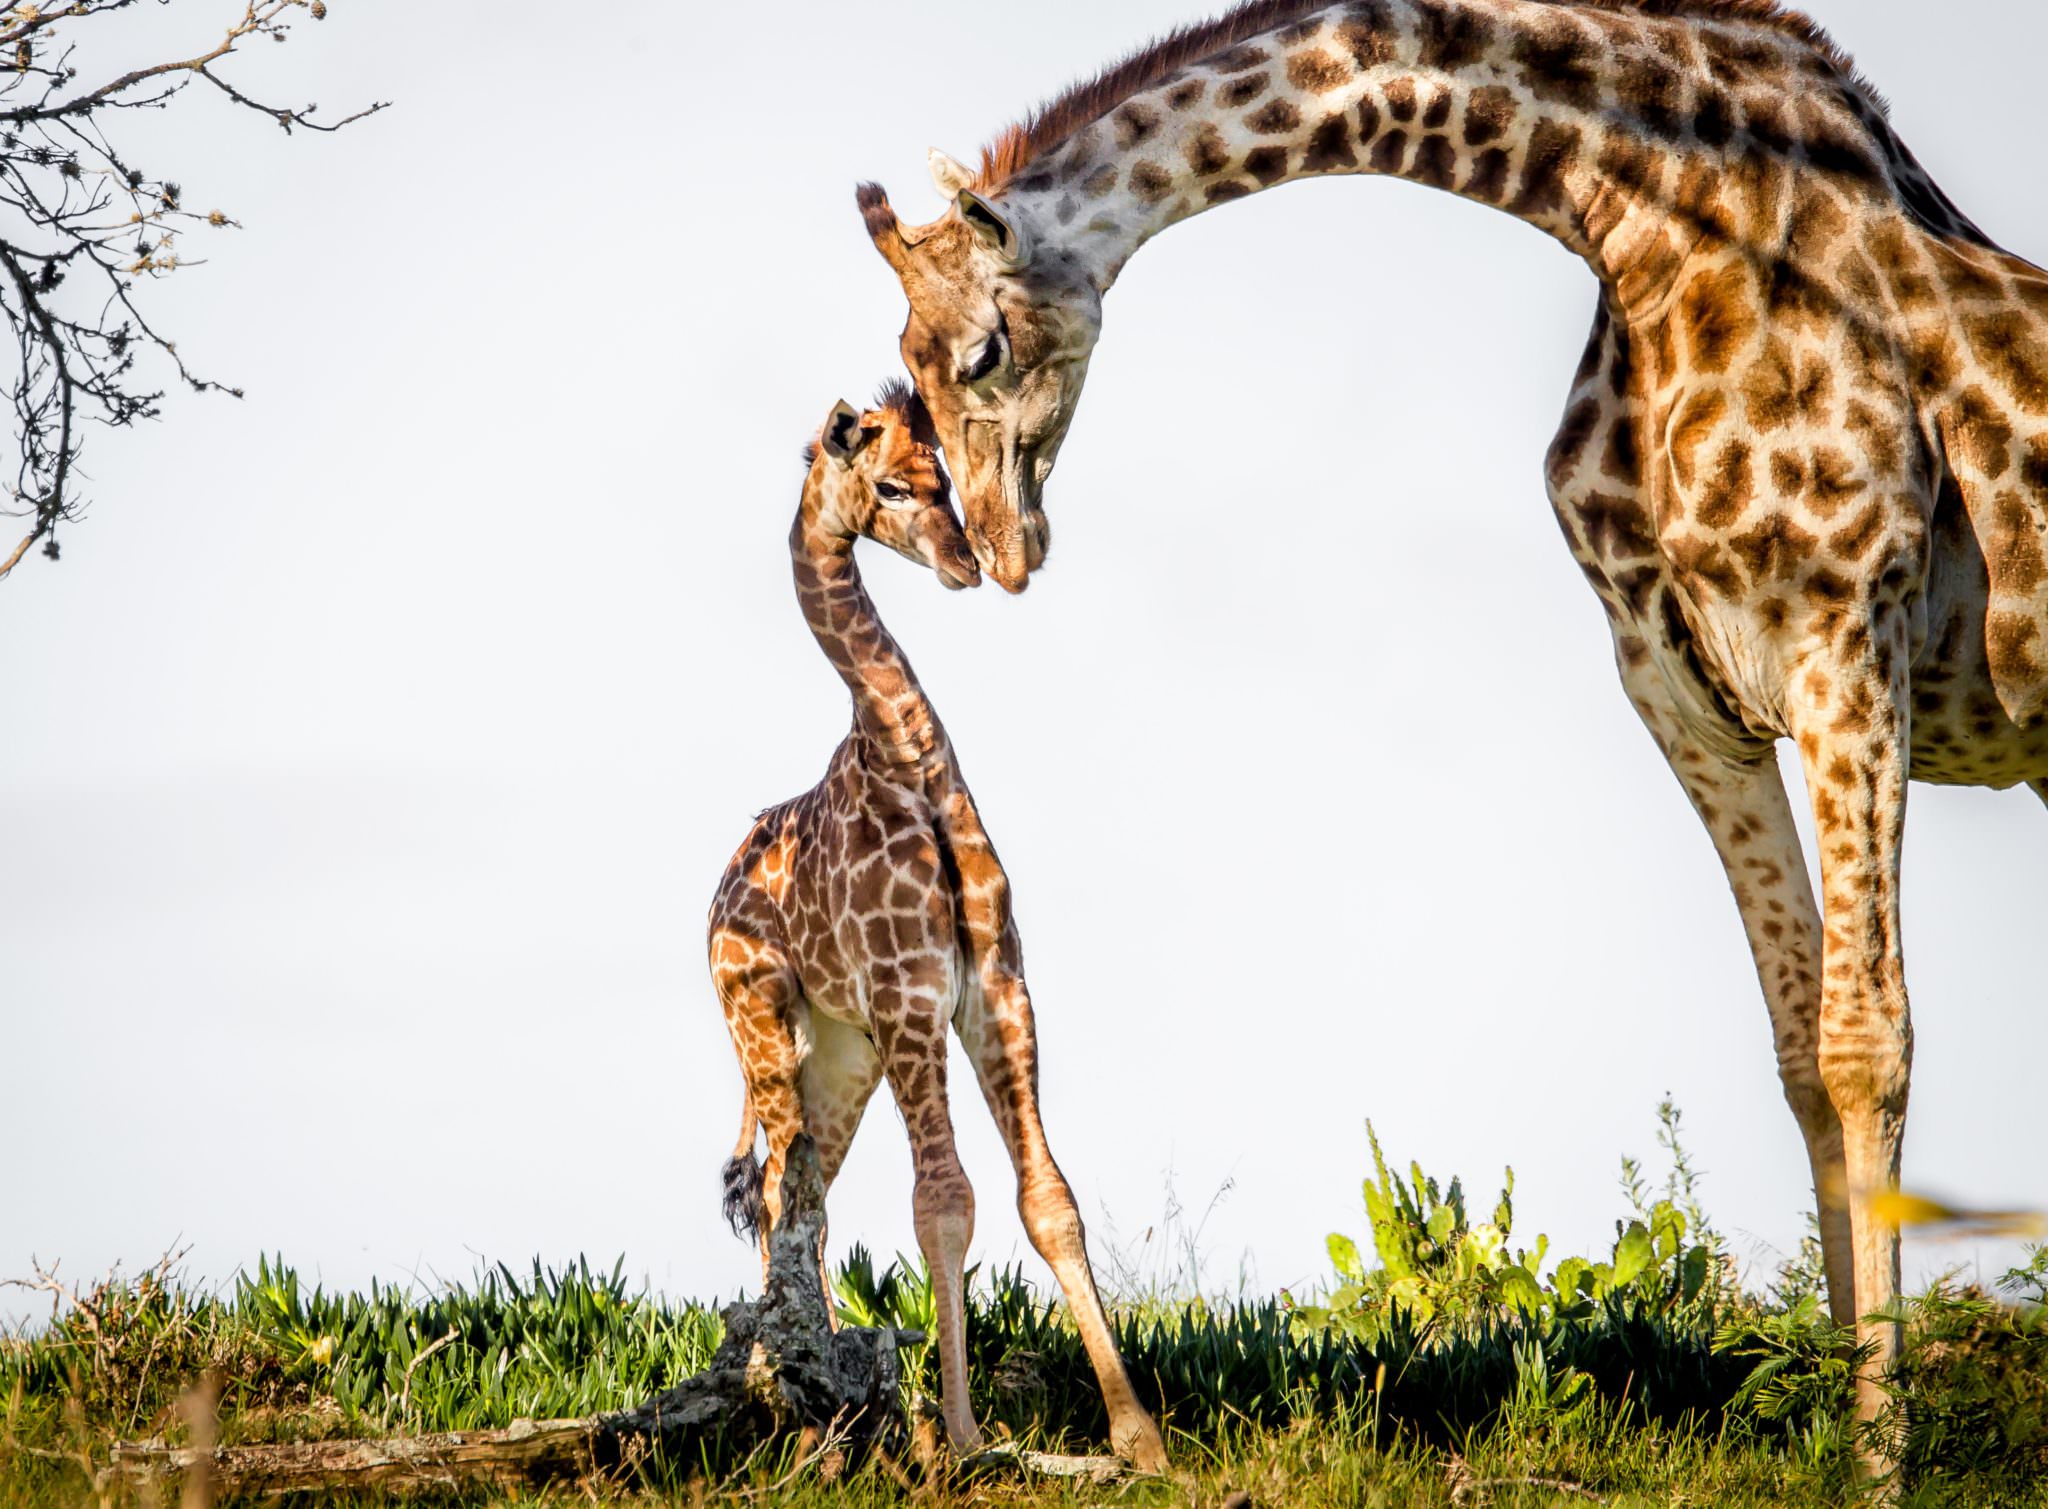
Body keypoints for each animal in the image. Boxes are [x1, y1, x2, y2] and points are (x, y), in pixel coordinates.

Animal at [706, 386, 1169, 1471]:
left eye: (944, 477)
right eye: (888, 486)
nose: (965, 563)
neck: (904, 760)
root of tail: (714, 900)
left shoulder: (994, 987)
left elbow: (1048, 1198)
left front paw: (1138, 1437)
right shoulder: (912, 996)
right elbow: (944, 1201)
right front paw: (960, 1435)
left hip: (842, 1053)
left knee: (801, 1198)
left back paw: (824, 1398)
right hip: (765, 1027)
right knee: (787, 1200)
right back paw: (815, 1406)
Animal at [851, 0, 2048, 1428]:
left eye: (975, 352)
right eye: (900, 370)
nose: (994, 550)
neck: (1653, 234)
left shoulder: (1843, 639)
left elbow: (1869, 1041)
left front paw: (1880, 1444)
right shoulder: (1684, 693)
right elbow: (1801, 1053)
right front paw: (1827, 1412)